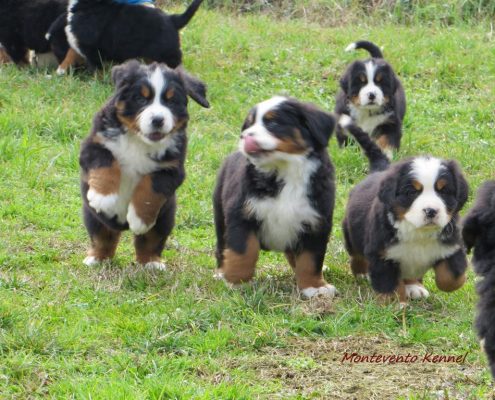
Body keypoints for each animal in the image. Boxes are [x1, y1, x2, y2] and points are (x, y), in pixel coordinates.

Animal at [56, 0, 205, 75]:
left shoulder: (91, 48)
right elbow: (70, 54)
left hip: (167, 53)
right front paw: (61, 71)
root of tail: (173, 19)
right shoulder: (78, 43)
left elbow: (97, 69)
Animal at [79, 59, 209, 270]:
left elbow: (150, 190)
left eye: (171, 101)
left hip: (165, 219)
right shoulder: (93, 146)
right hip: (93, 218)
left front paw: (140, 220)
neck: (139, 140)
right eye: (142, 99)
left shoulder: (171, 170)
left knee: (150, 241)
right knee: (103, 238)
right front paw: (103, 198)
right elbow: (106, 165)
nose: (158, 120)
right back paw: (97, 258)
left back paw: (151, 262)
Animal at [213, 96, 338, 296]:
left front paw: (314, 287)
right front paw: (237, 281)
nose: (245, 136)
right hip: (219, 214)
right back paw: (220, 272)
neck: (285, 171)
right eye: (249, 124)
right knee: (222, 246)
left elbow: (310, 259)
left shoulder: (316, 223)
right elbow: (244, 252)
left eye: (273, 123)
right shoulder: (242, 214)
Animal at [340, 117, 470, 304]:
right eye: (411, 192)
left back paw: (414, 287)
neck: (419, 234)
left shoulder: (452, 246)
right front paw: (394, 304)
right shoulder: (382, 253)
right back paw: (363, 273)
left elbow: (451, 277)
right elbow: (389, 282)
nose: (431, 211)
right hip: (351, 233)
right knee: (357, 255)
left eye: (443, 191)